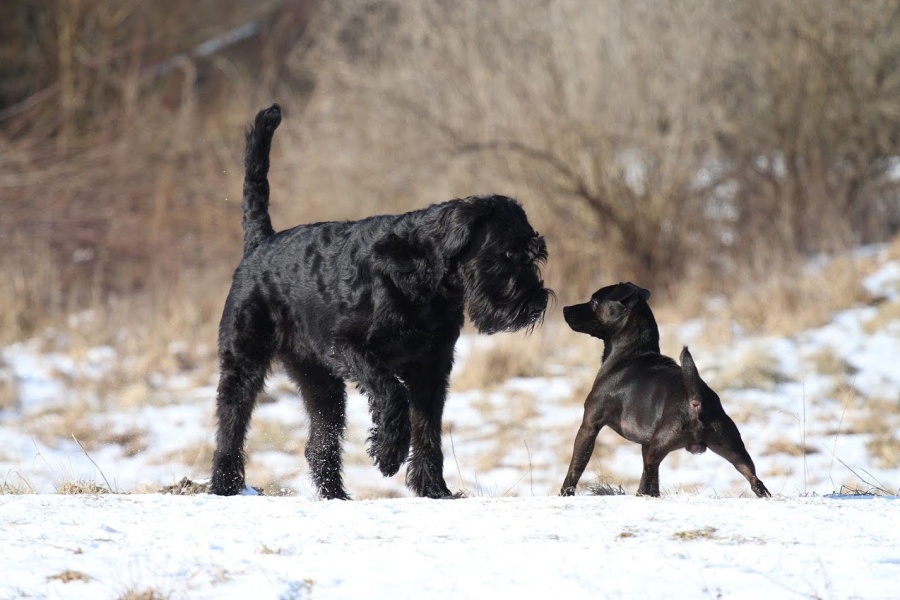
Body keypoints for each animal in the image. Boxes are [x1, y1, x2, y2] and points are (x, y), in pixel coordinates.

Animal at [211, 105, 548, 500]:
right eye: (508, 253)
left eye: (536, 254)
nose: (537, 303)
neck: (423, 274)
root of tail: (261, 242)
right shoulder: (350, 347)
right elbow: (391, 393)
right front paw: (389, 454)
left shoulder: (432, 365)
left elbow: (428, 429)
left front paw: (434, 488)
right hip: (244, 362)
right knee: (230, 427)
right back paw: (223, 485)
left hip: (319, 381)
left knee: (320, 443)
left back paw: (336, 496)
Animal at [560, 284, 768, 500]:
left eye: (594, 301)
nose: (565, 308)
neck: (630, 353)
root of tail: (696, 399)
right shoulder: (645, 443)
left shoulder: (589, 426)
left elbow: (575, 467)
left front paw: (565, 493)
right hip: (734, 450)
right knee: (755, 481)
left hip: (659, 446)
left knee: (648, 474)